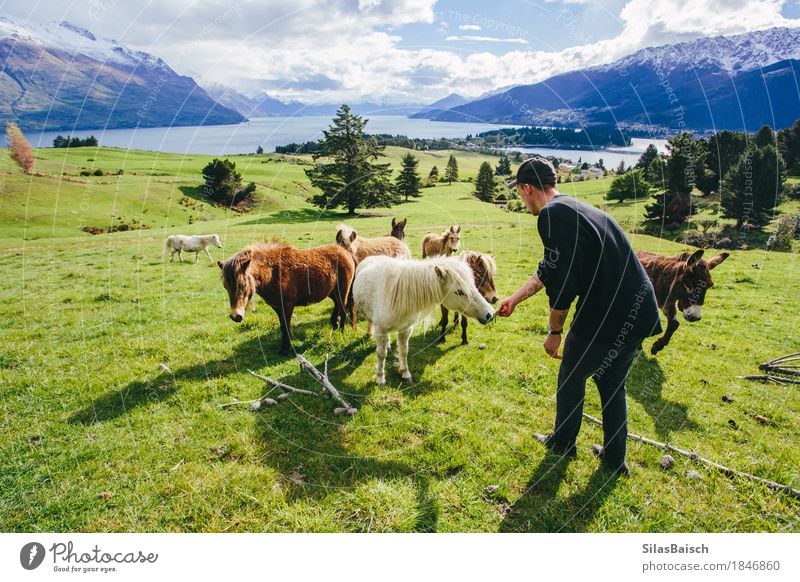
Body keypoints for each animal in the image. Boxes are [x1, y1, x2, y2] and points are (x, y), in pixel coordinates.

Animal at [220, 243, 354, 354]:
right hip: (332, 292)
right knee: (337, 305)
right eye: (225, 287)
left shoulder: (288, 306)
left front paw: (286, 348)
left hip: (342, 290)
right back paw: (334, 324)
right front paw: (287, 344)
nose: (236, 316)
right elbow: (283, 327)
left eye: (243, 285)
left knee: (343, 309)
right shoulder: (277, 307)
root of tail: (345, 252)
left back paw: (341, 332)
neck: (272, 273)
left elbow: (285, 326)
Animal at [354, 256, 494, 386]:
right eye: (459, 292)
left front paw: (405, 373)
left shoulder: (406, 329)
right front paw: (380, 378)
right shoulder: (381, 328)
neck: (398, 294)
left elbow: (404, 351)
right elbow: (381, 354)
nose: (490, 314)